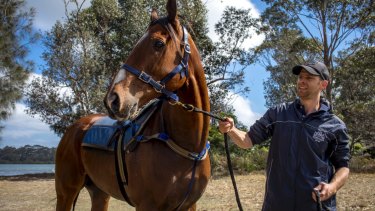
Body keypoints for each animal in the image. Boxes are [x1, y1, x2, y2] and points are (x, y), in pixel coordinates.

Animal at [55, 0, 213, 210]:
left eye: (158, 43)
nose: (112, 99)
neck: (186, 147)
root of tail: (74, 128)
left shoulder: (190, 205)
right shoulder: (147, 205)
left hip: (100, 193)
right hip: (66, 192)